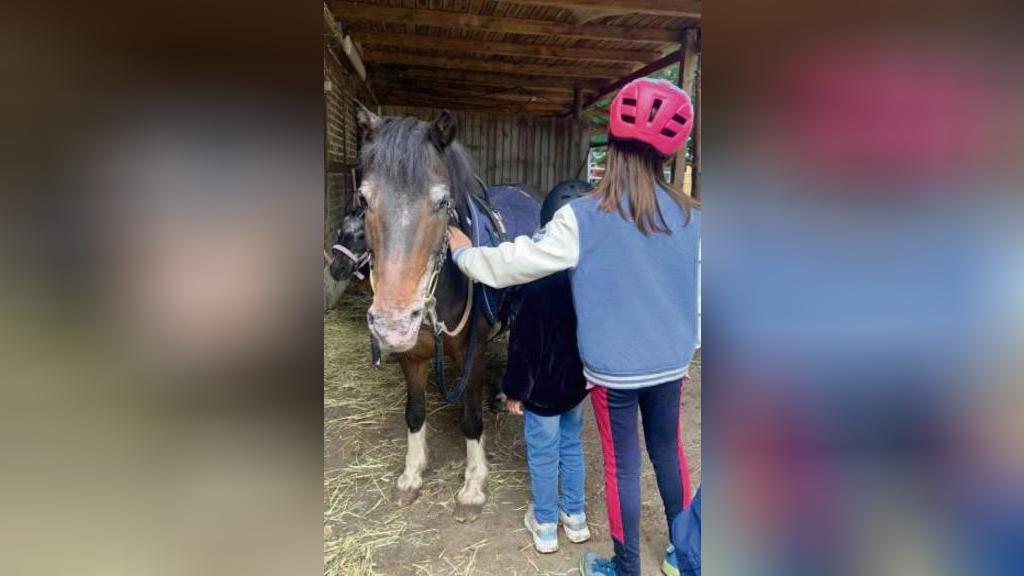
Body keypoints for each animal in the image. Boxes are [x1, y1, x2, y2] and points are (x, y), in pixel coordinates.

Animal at [356, 107, 500, 522]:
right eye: (363, 199)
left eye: (441, 202)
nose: (393, 324)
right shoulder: (412, 355)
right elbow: (415, 413)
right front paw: (411, 475)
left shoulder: (474, 353)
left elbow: (471, 419)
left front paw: (473, 485)